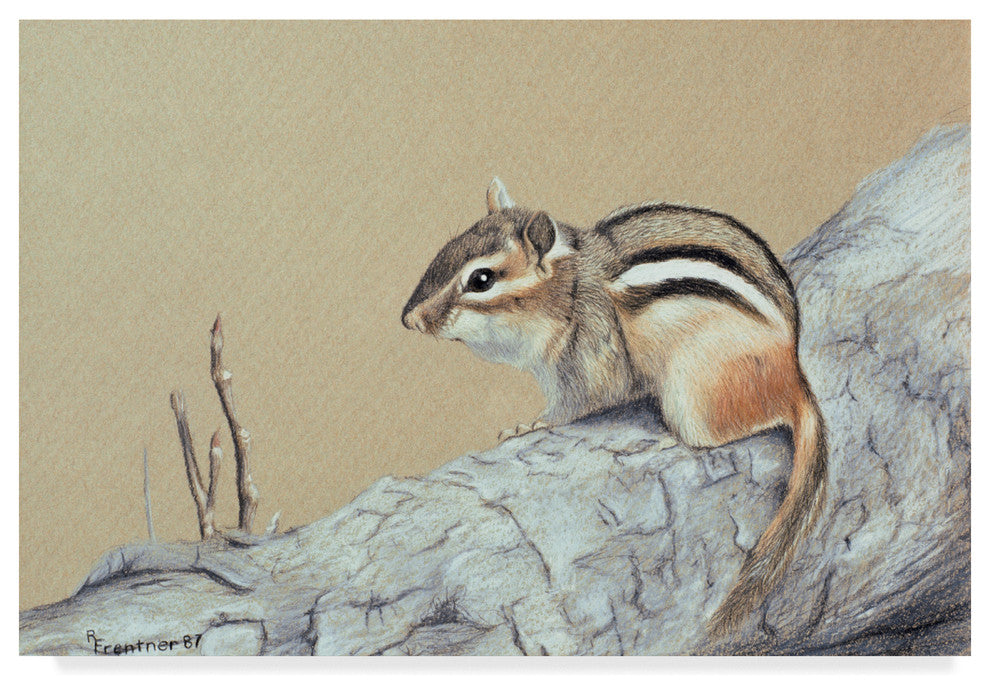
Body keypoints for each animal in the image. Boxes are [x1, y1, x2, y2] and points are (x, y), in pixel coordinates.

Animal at [401, 178, 828, 636]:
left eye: (481, 279)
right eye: (446, 248)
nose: (409, 320)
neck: (569, 288)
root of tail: (794, 378)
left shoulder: (589, 353)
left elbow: (578, 403)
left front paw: (530, 426)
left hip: (695, 388)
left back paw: (666, 440)